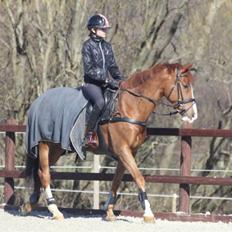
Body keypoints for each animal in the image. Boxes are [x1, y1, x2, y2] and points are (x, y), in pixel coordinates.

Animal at [21, 62, 198, 222]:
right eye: (185, 85)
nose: (193, 115)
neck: (130, 106)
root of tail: (38, 101)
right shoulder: (123, 150)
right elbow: (139, 177)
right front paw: (148, 214)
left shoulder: (128, 152)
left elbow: (117, 181)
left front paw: (109, 211)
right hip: (44, 144)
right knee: (44, 173)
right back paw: (54, 210)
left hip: (56, 148)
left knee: (39, 172)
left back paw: (29, 204)